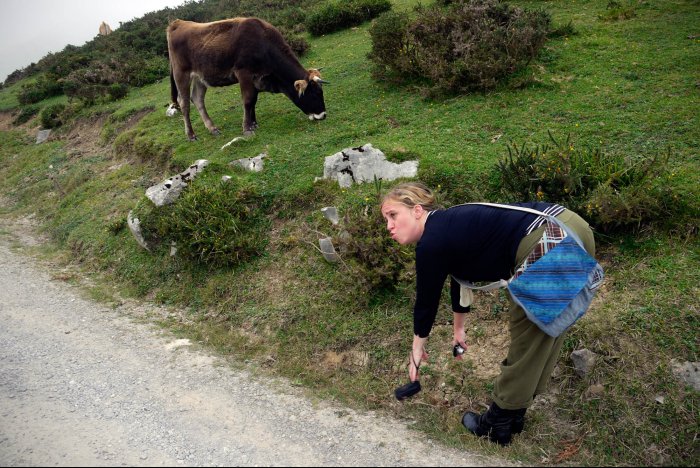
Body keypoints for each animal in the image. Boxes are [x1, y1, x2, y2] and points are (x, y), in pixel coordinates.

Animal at [167, 16, 328, 141]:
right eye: (314, 94)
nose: (323, 115)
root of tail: (178, 23)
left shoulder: (256, 78)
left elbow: (254, 100)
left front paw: (254, 123)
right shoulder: (244, 73)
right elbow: (248, 100)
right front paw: (247, 128)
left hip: (200, 77)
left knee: (197, 99)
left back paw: (213, 128)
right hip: (181, 73)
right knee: (184, 103)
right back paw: (191, 135)